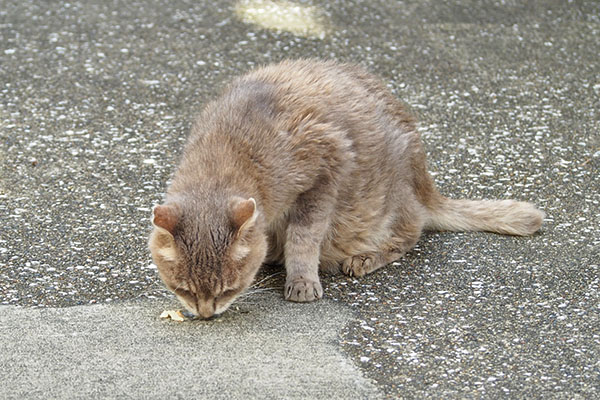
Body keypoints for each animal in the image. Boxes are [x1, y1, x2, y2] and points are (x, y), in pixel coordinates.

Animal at [149, 58, 544, 318]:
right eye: (182, 289)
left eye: (228, 290)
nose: (205, 314)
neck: (231, 143)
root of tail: (425, 183)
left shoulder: (327, 167)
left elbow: (304, 237)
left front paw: (301, 279)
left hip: (386, 203)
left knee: (410, 232)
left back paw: (364, 258)